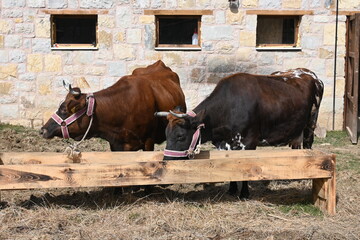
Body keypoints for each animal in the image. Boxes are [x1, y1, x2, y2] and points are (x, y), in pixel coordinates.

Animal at [156, 68, 324, 199]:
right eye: (166, 135)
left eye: (180, 135)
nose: (166, 161)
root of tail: (310, 74)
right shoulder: (226, 144)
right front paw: (231, 190)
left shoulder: (248, 142)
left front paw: (244, 193)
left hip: (310, 125)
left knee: (308, 146)